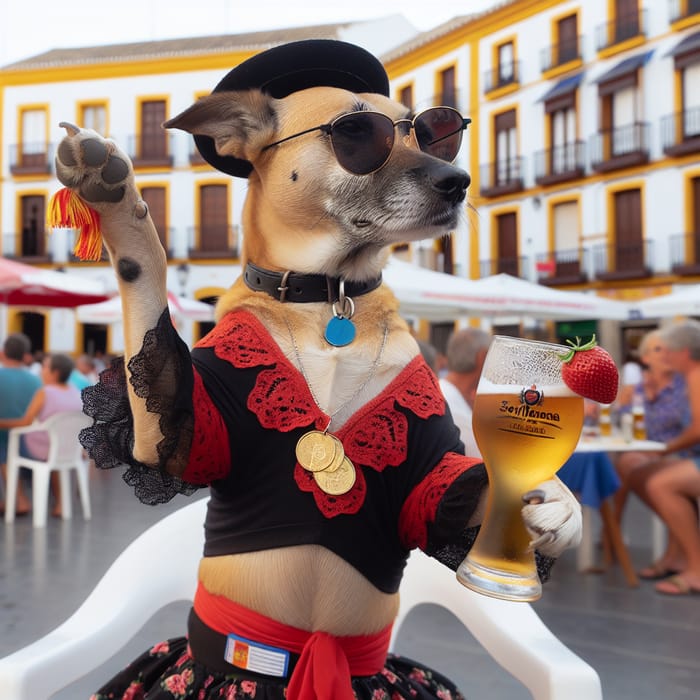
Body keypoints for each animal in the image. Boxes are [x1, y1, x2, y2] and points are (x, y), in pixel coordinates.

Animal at [53, 41, 580, 700]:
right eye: (357, 132)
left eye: (437, 133)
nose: (456, 182)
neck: (329, 302)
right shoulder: (174, 430)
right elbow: (144, 272)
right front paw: (117, 200)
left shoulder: (422, 484)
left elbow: (468, 490)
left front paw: (556, 503)